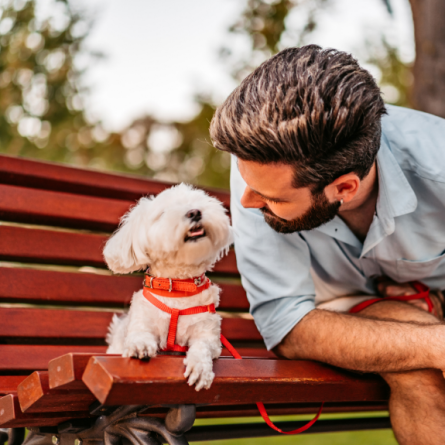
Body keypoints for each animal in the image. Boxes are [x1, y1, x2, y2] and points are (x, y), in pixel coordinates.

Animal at [103, 182, 232, 390]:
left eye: (199, 202)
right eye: (163, 213)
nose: (195, 212)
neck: (178, 288)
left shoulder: (208, 333)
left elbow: (203, 347)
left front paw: (200, 369)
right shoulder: (142, 320)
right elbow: (140, 333)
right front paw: (140, 345)